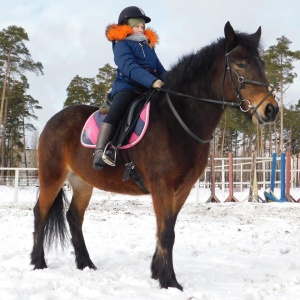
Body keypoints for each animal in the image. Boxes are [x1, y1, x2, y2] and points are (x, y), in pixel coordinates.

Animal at [31, 22, 278, 290]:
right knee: (40, 212)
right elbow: (166, 233)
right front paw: (170, 281)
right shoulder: (162, 186)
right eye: (240, 63)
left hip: (83, 182)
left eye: (262, 63)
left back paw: (86, 264)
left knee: (74, 217)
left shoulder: (182, 189)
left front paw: (157, 273)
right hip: (52, 177)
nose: (271, 110)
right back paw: (38, 263)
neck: (178, 120)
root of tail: (53, 120)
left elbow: (166, 229)